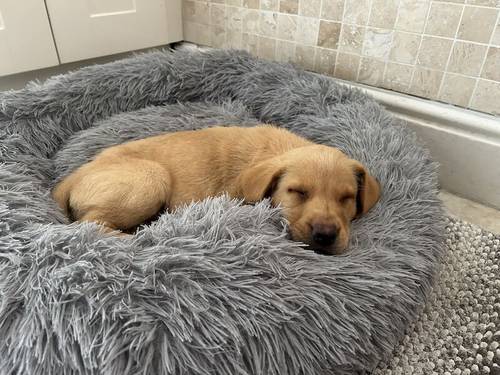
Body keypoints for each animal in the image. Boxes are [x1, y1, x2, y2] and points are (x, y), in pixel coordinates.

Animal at [52, 126, 378, 256]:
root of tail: (70, 178)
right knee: (88, 225)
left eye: (347, 198)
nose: (325, 235)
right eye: (297, 192)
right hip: (152, 178)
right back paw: (141, 235)